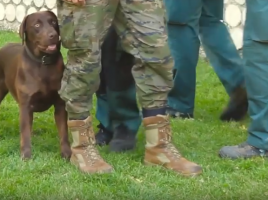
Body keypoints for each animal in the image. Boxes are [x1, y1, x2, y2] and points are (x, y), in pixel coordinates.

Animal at [0, 11, 71, 161]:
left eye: (53, 22)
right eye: (37, 25)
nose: (53, 35)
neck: (43, 63)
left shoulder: (60, 105)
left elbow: (64, 132)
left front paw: (66, 153)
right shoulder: (26, 106)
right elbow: (25, 134)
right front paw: (26, 156)